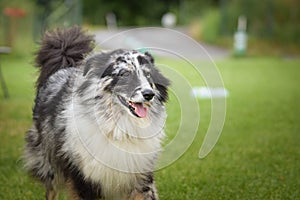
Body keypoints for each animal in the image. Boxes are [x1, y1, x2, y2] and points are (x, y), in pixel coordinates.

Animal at [23, 27, 169, 200]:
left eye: (148, 75)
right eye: (124, 74)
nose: (149, 94)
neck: (118, 128)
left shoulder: (140, 176)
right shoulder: (84, 178)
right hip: (50, 163)